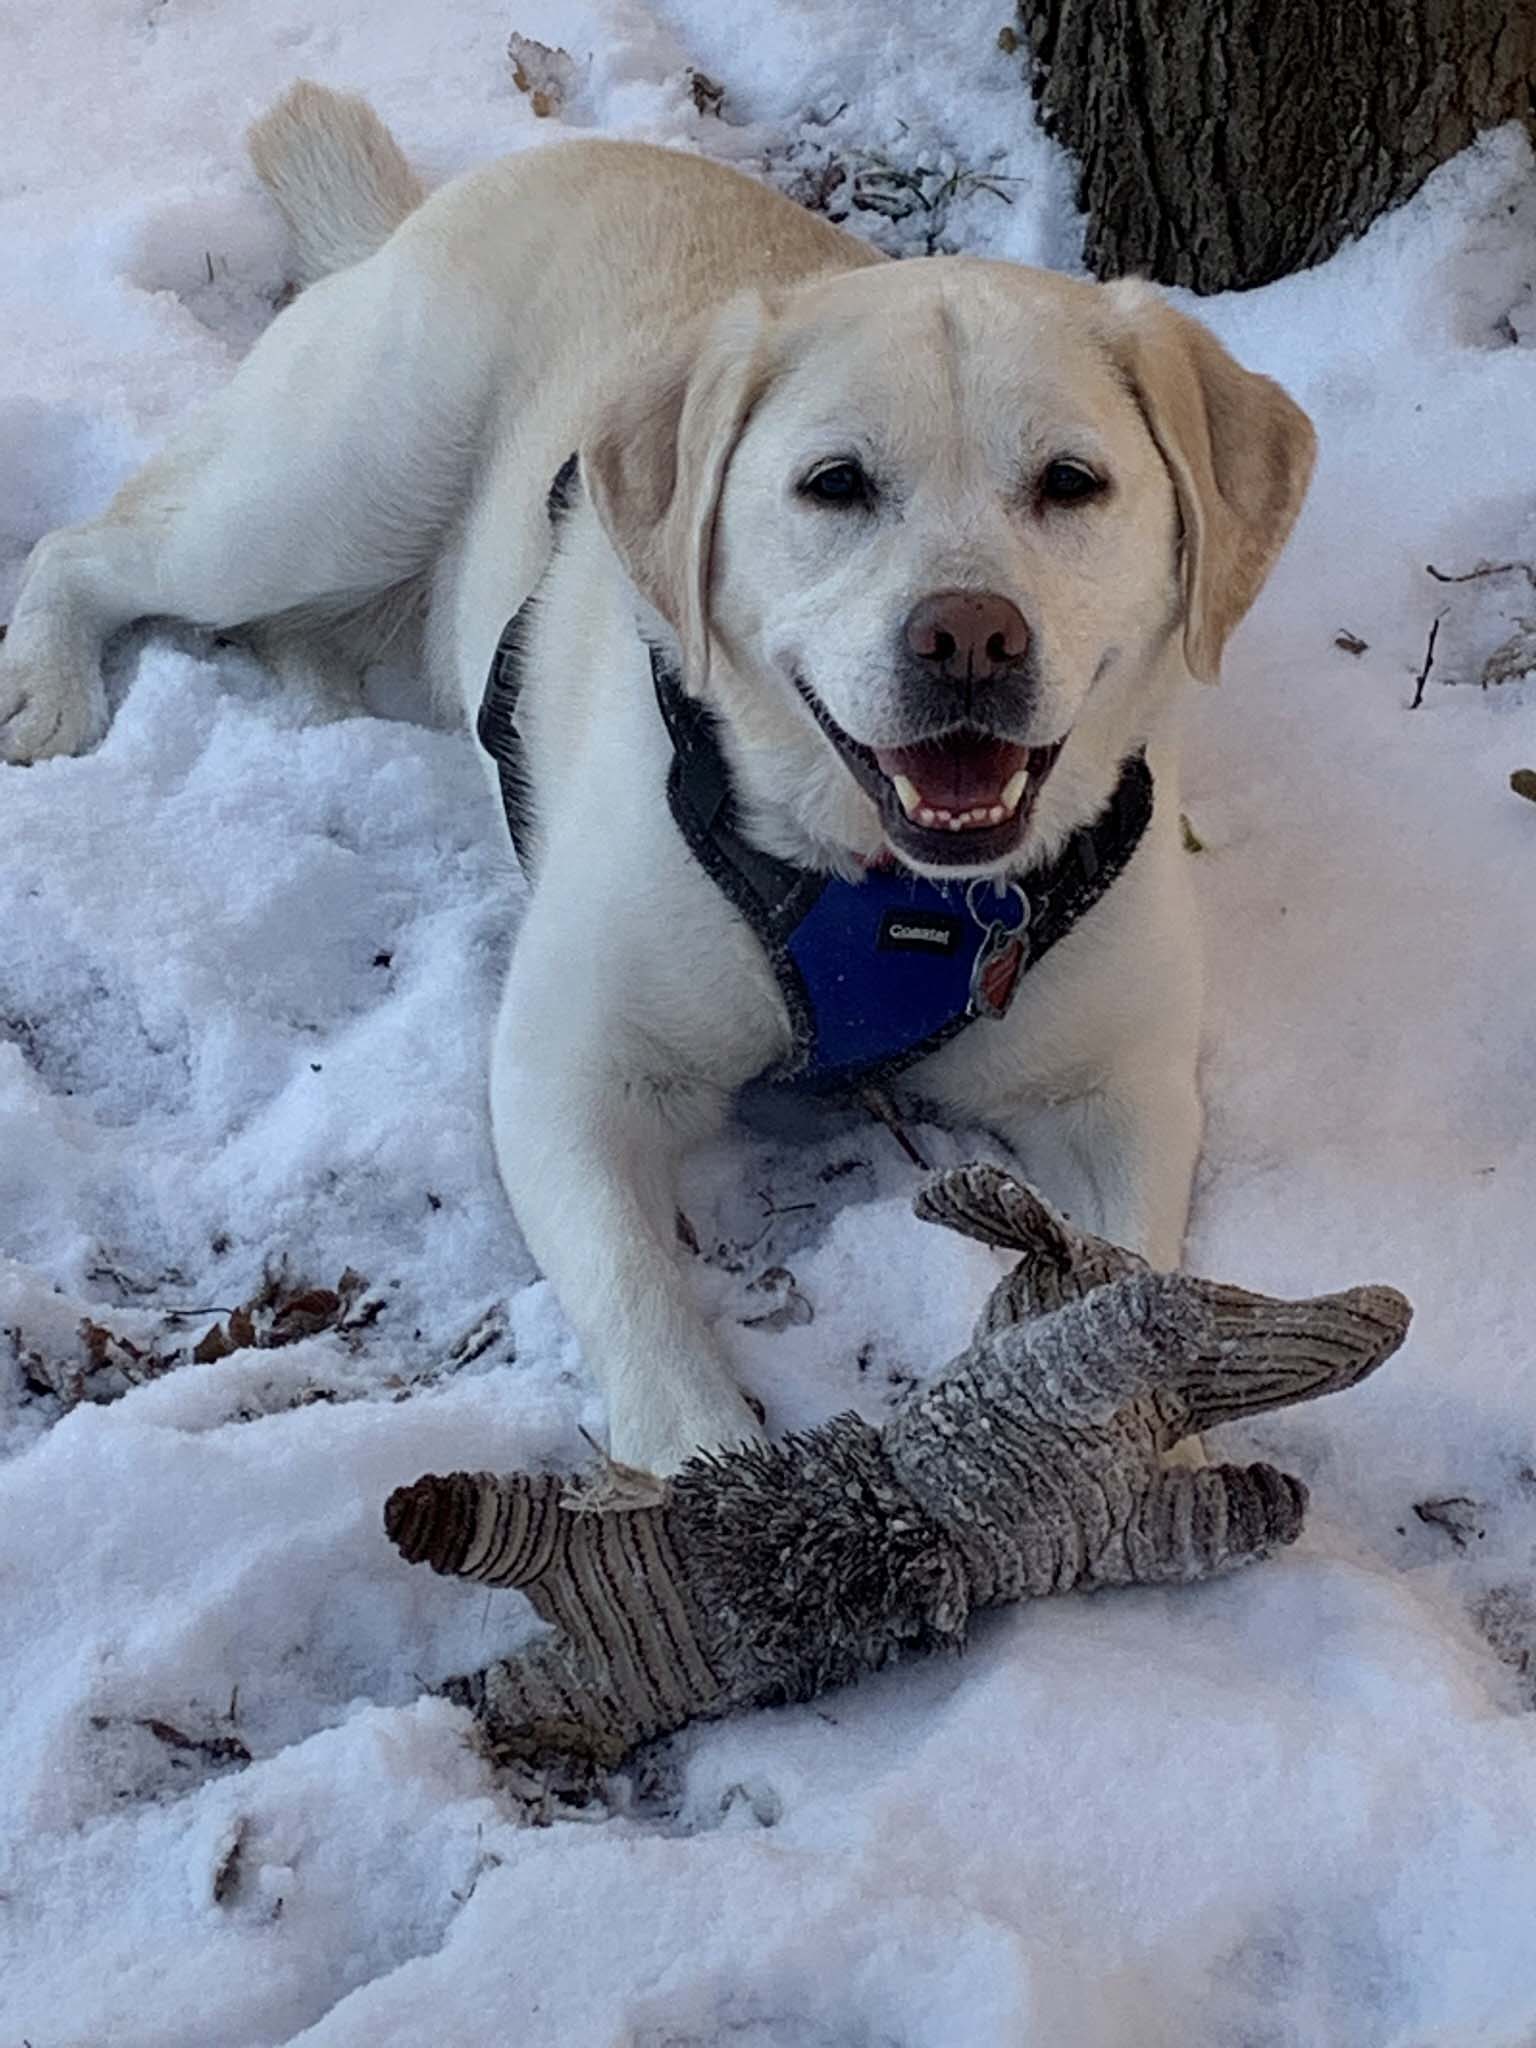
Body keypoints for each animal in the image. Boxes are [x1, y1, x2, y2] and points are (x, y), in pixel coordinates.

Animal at [0, 85, 1315, 1474]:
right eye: (834, 483)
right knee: (92, 545)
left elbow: (1135, 1276)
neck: (884, 894)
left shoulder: (1124, 1092)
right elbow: (641, 1296)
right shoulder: (572, 1065)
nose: (968, 637)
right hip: (322, 492)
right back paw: (44, 679)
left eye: (1072, 481)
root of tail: (442, 201)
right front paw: (706, 1474)